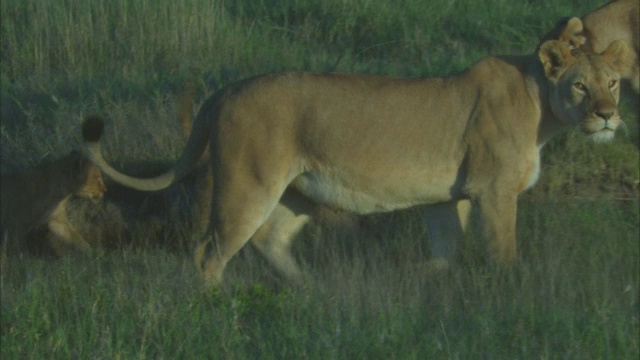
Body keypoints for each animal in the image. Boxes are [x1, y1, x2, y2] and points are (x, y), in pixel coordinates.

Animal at [82, 18, 628, 286]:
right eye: (580, 86)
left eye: (614, 83)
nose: (607, 115)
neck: (542, 109)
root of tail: (228, 89)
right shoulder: (493, 191)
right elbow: (503, 252)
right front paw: (509, 295)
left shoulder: (447, 197)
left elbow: (447, 250)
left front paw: (424, 280)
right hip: (247, 185)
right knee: (208, 254)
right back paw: (218, 308)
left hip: (294, 192)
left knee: (270, 242)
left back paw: (310, 293)